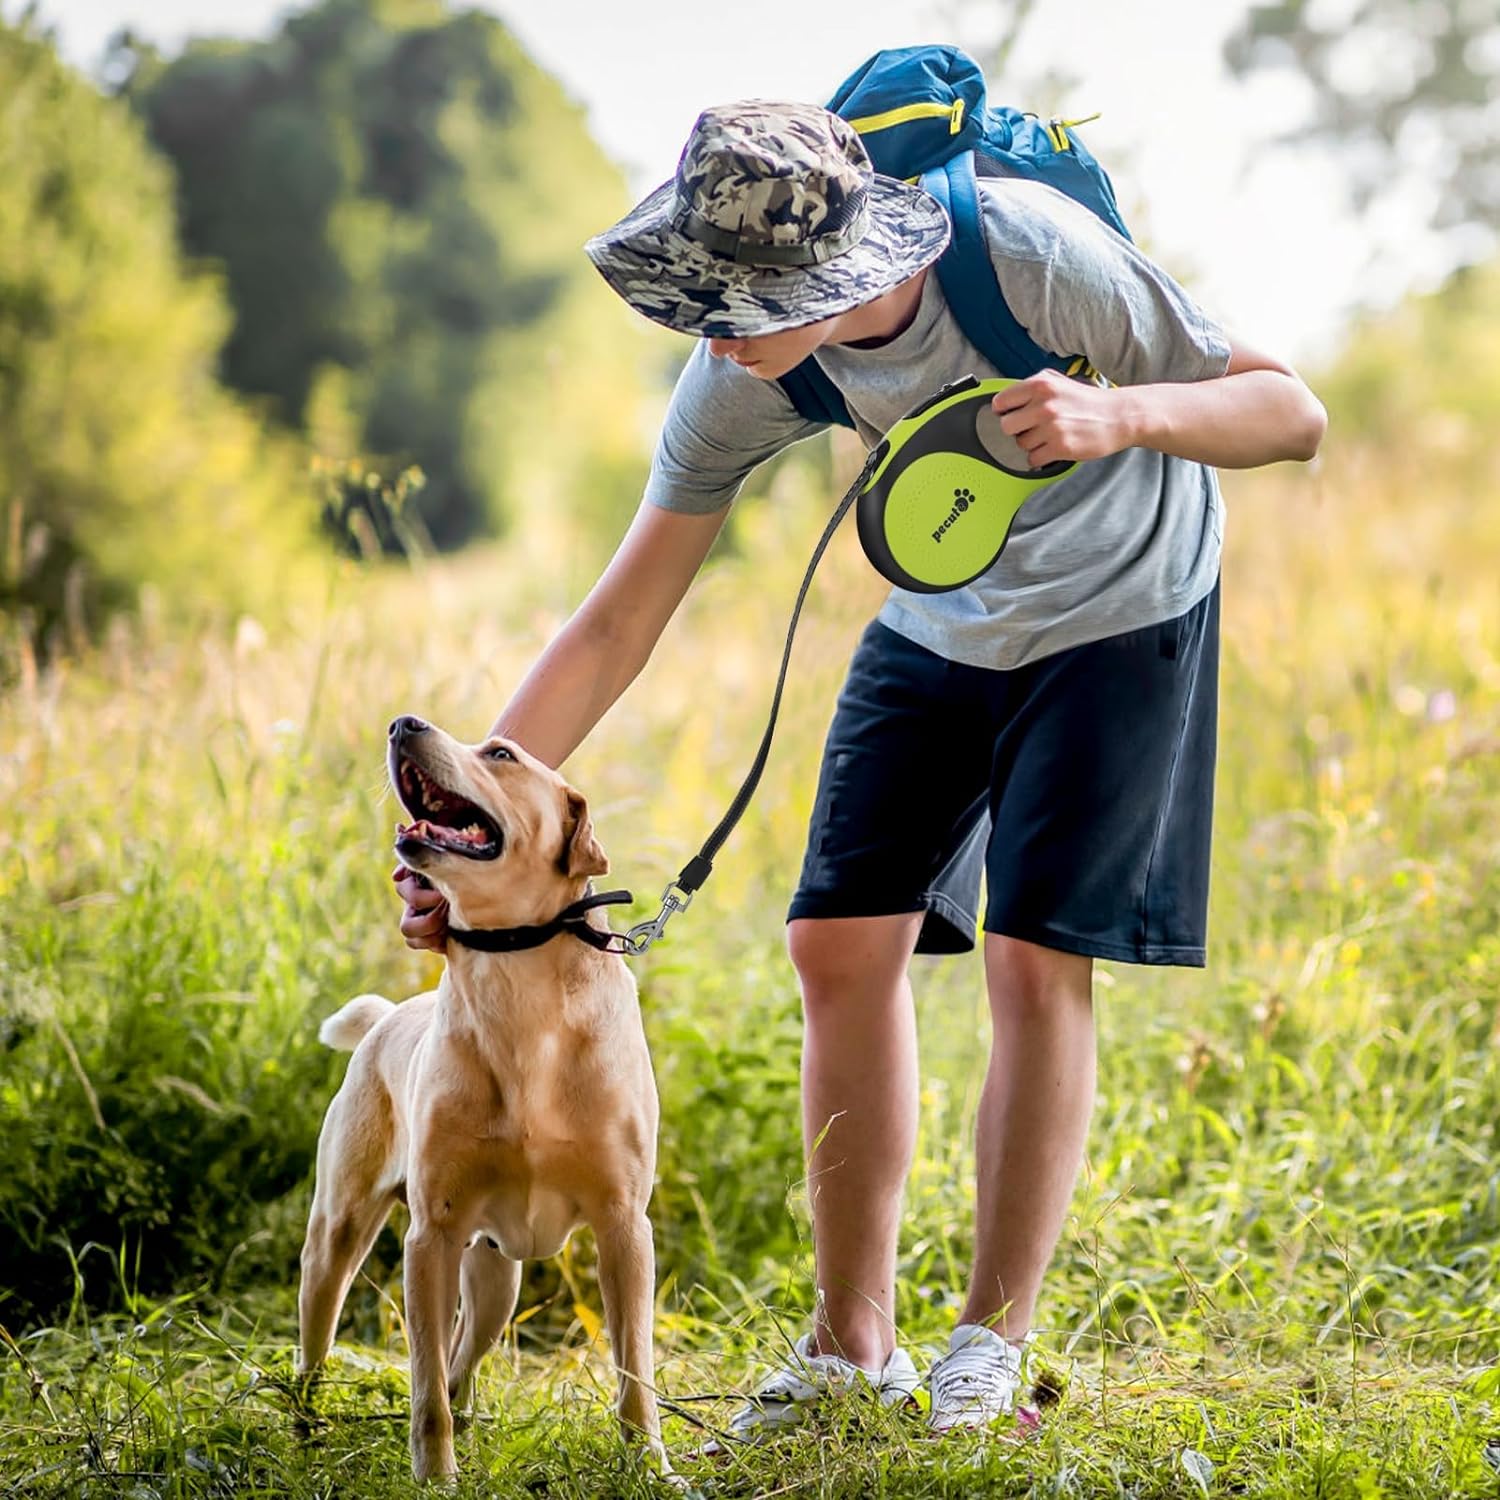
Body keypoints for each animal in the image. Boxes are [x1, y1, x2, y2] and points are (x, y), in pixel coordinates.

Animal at [298, 711, 663, 1476]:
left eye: (501, 754)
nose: (403, 722)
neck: (518, 983)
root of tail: (386, 1018)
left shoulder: (624, 1228)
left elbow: (634, 1375)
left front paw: (652, 1466)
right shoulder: (430, 1237)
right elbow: (425, 1387)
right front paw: (435, 1476)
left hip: (496, 1280)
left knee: (465, 1356)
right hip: (339, 1236)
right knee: (328, 1349)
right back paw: (305, 1429)